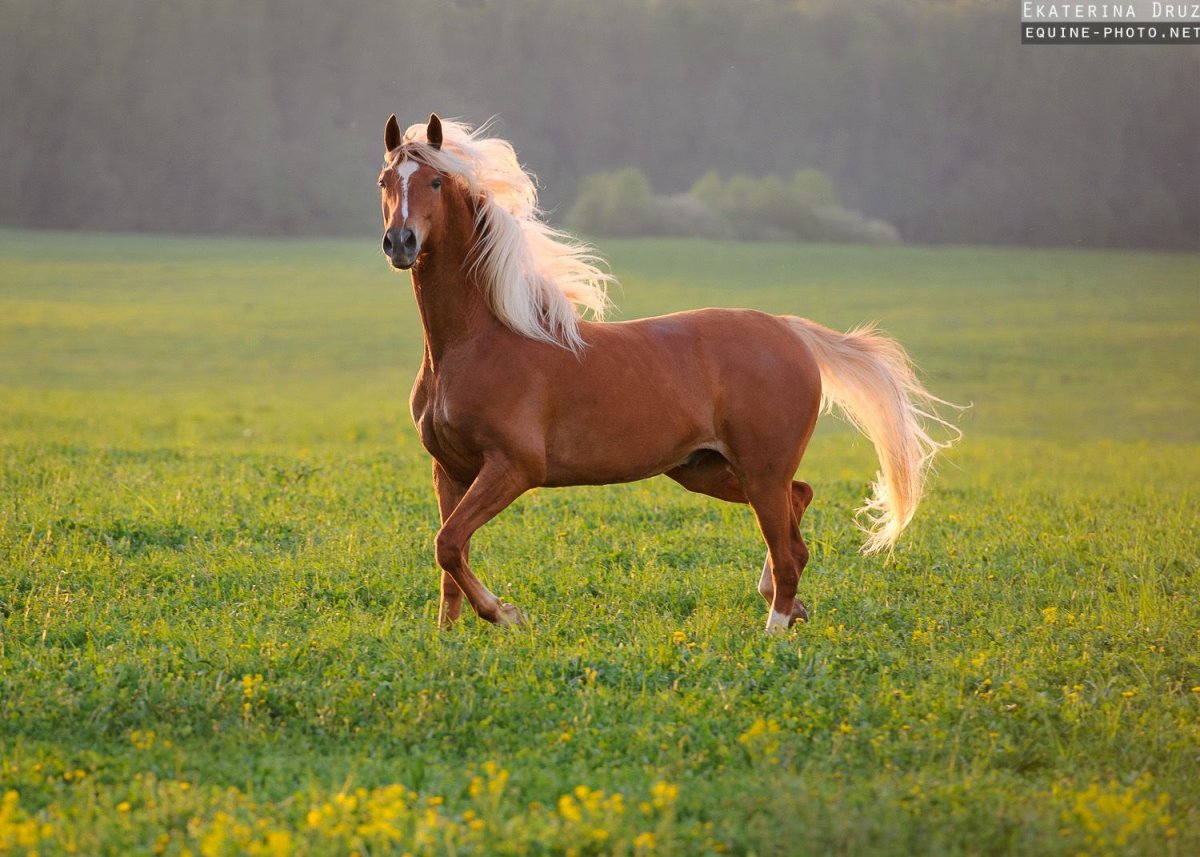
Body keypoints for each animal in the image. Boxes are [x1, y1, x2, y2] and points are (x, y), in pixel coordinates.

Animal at [377, 112, 959, 632]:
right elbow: (450, 554)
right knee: (799, 511)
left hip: (759, 470)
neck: (477, 342)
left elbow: (448, 543)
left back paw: (774, 629)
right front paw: (448, 635)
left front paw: (506, 614)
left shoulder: (514, 467)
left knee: (789, 547)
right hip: (707, 470)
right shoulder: (450, 470)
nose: (400, 243)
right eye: (385, 180)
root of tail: (790, 333)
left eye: (434, 180)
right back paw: (790, 608)